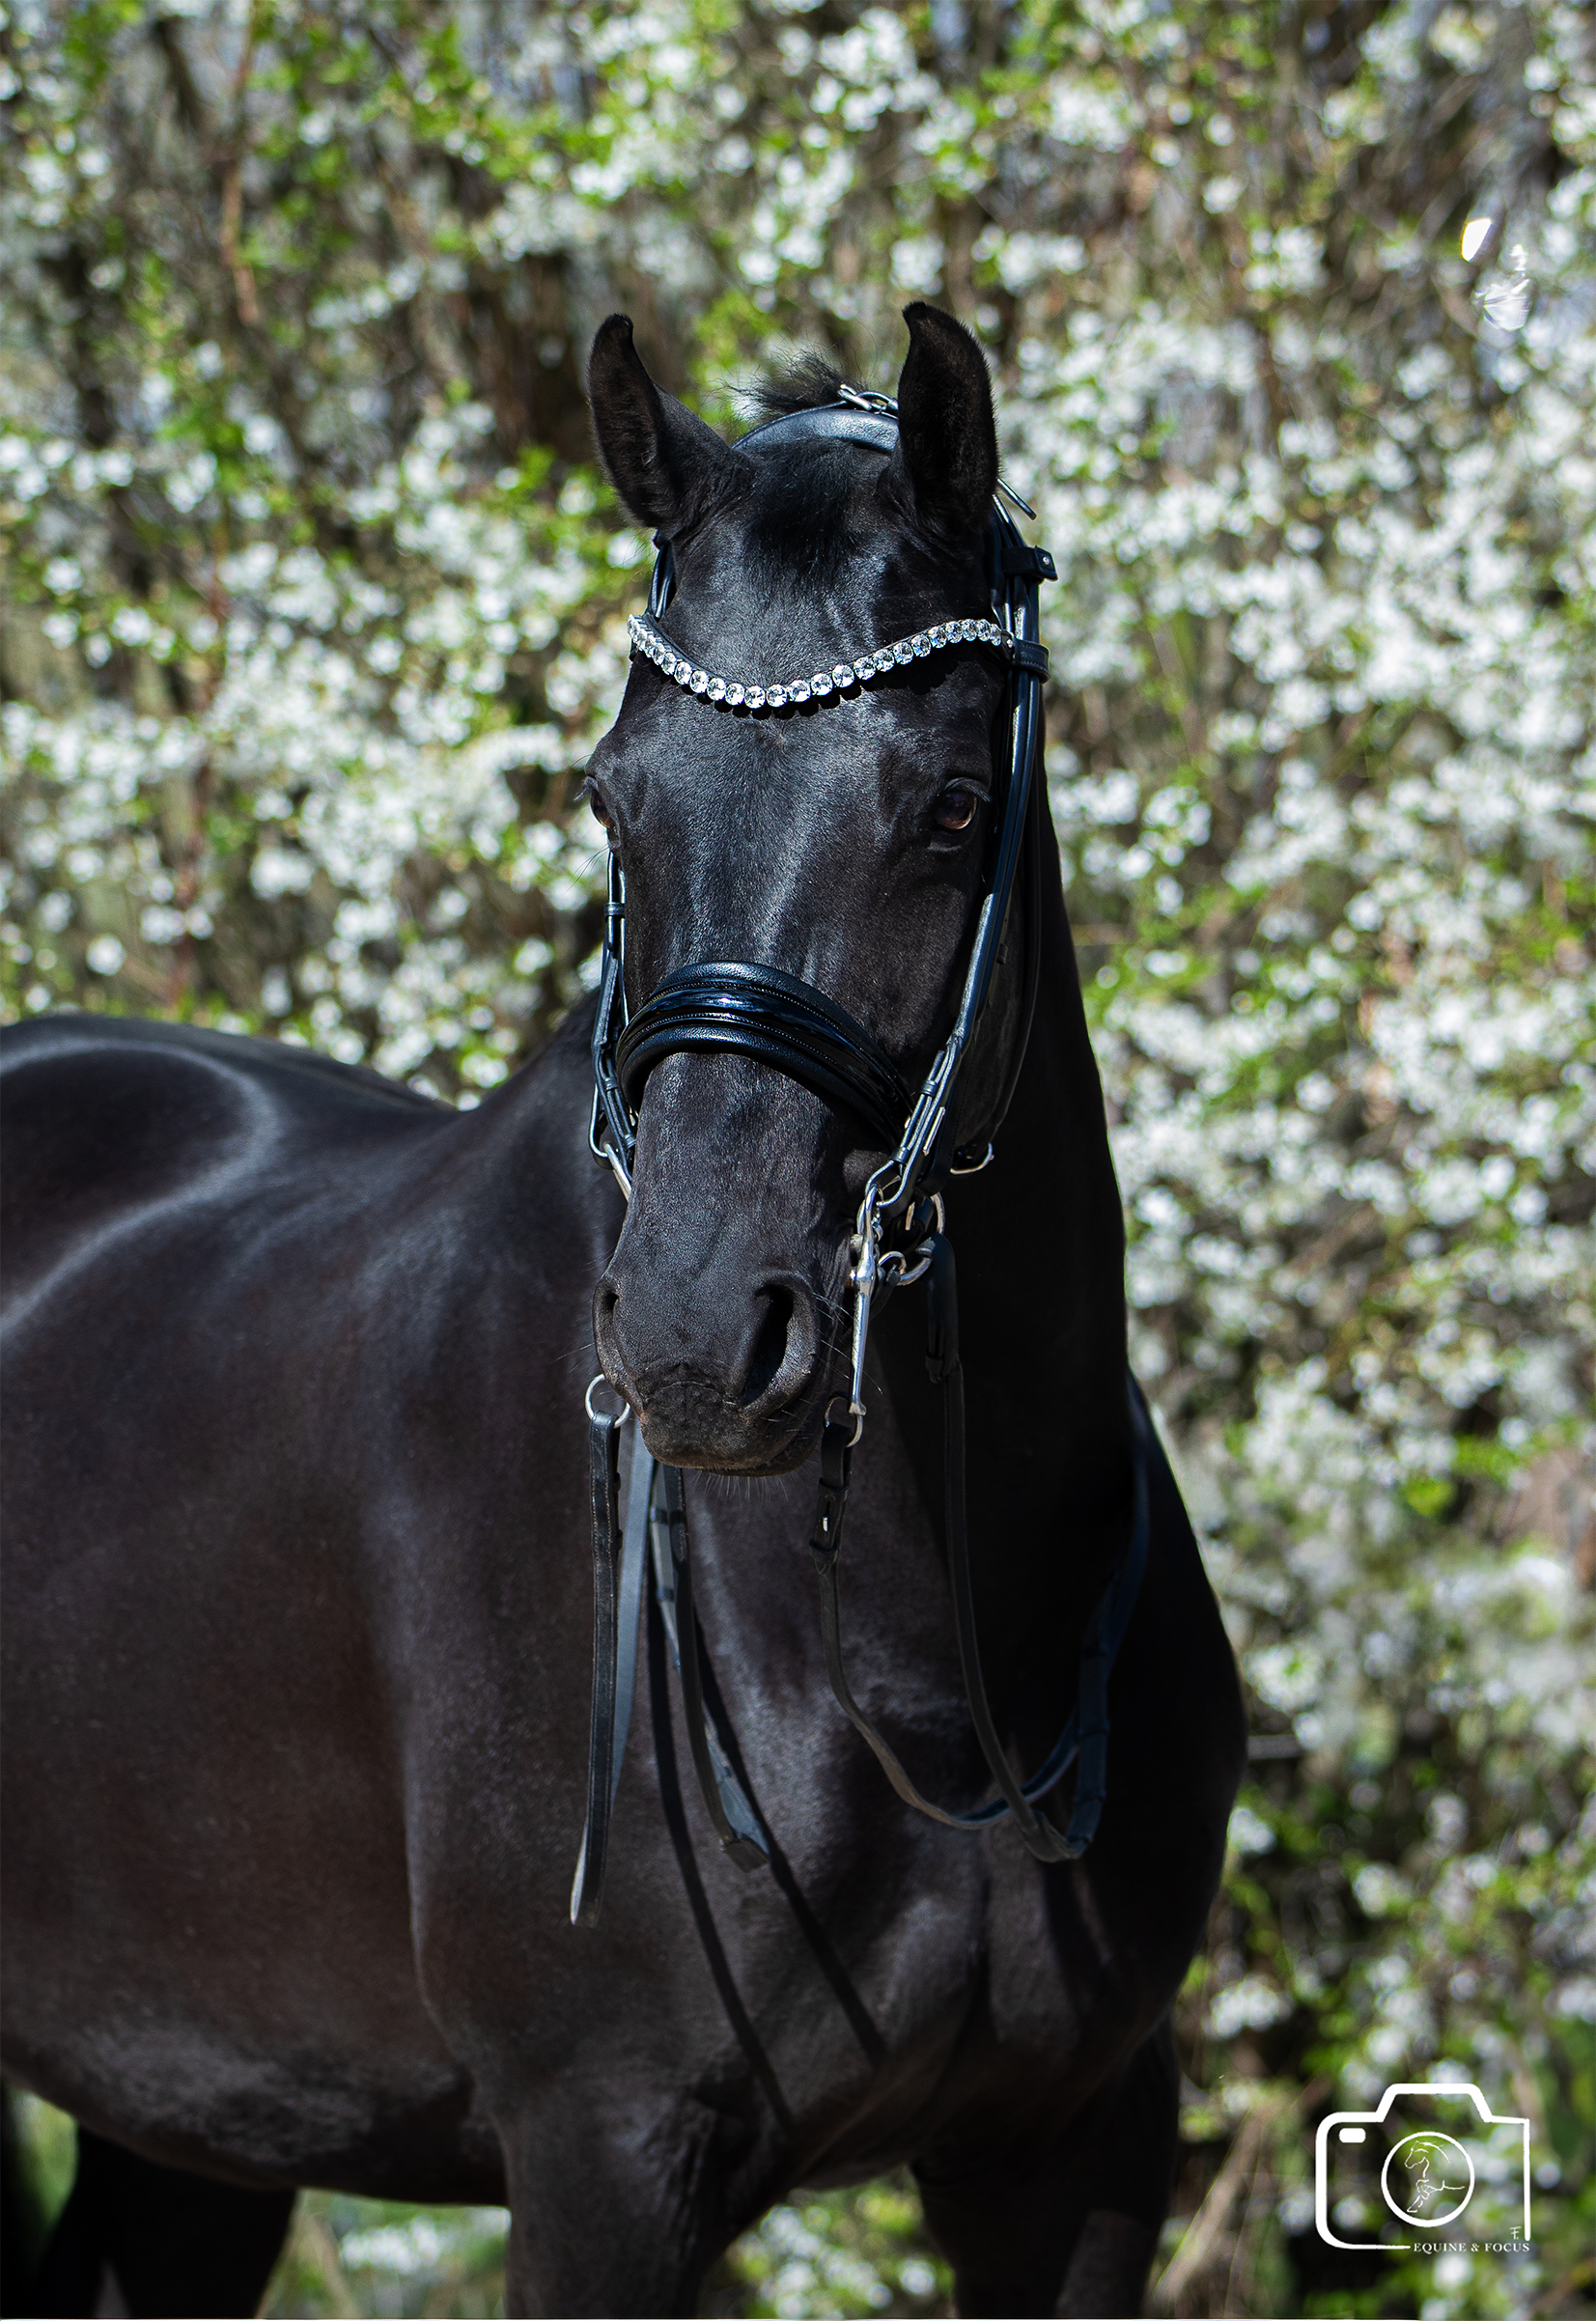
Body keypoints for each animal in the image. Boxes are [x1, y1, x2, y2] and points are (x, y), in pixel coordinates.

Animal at [0, 302, 1243, 2319]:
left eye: (951, 803)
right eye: (610, 792)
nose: (691, 1340)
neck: (921, 1662)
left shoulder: (1076, 2146)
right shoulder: (603, 2151)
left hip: (191, 2118)